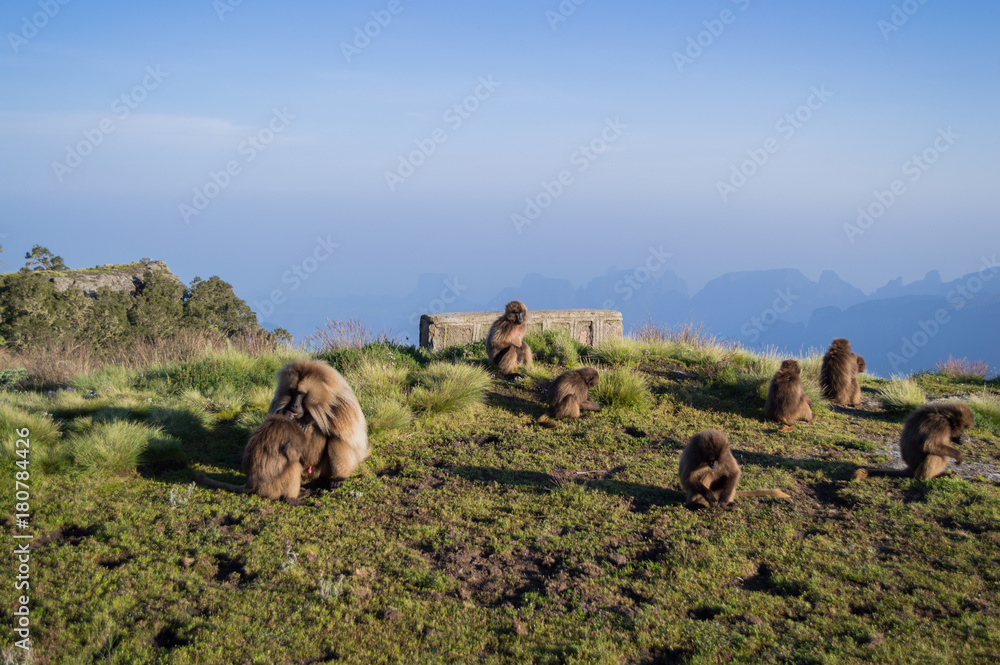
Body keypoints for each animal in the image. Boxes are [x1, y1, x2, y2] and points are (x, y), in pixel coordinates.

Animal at [269, 359, 370, 488]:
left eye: (301, 394)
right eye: (293, 392)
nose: (294, 406)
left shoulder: (339, 398)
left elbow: (342, 419)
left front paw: (309, 419)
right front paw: (285, 414)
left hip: (324, 469)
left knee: (336, 439)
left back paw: (339, 478)